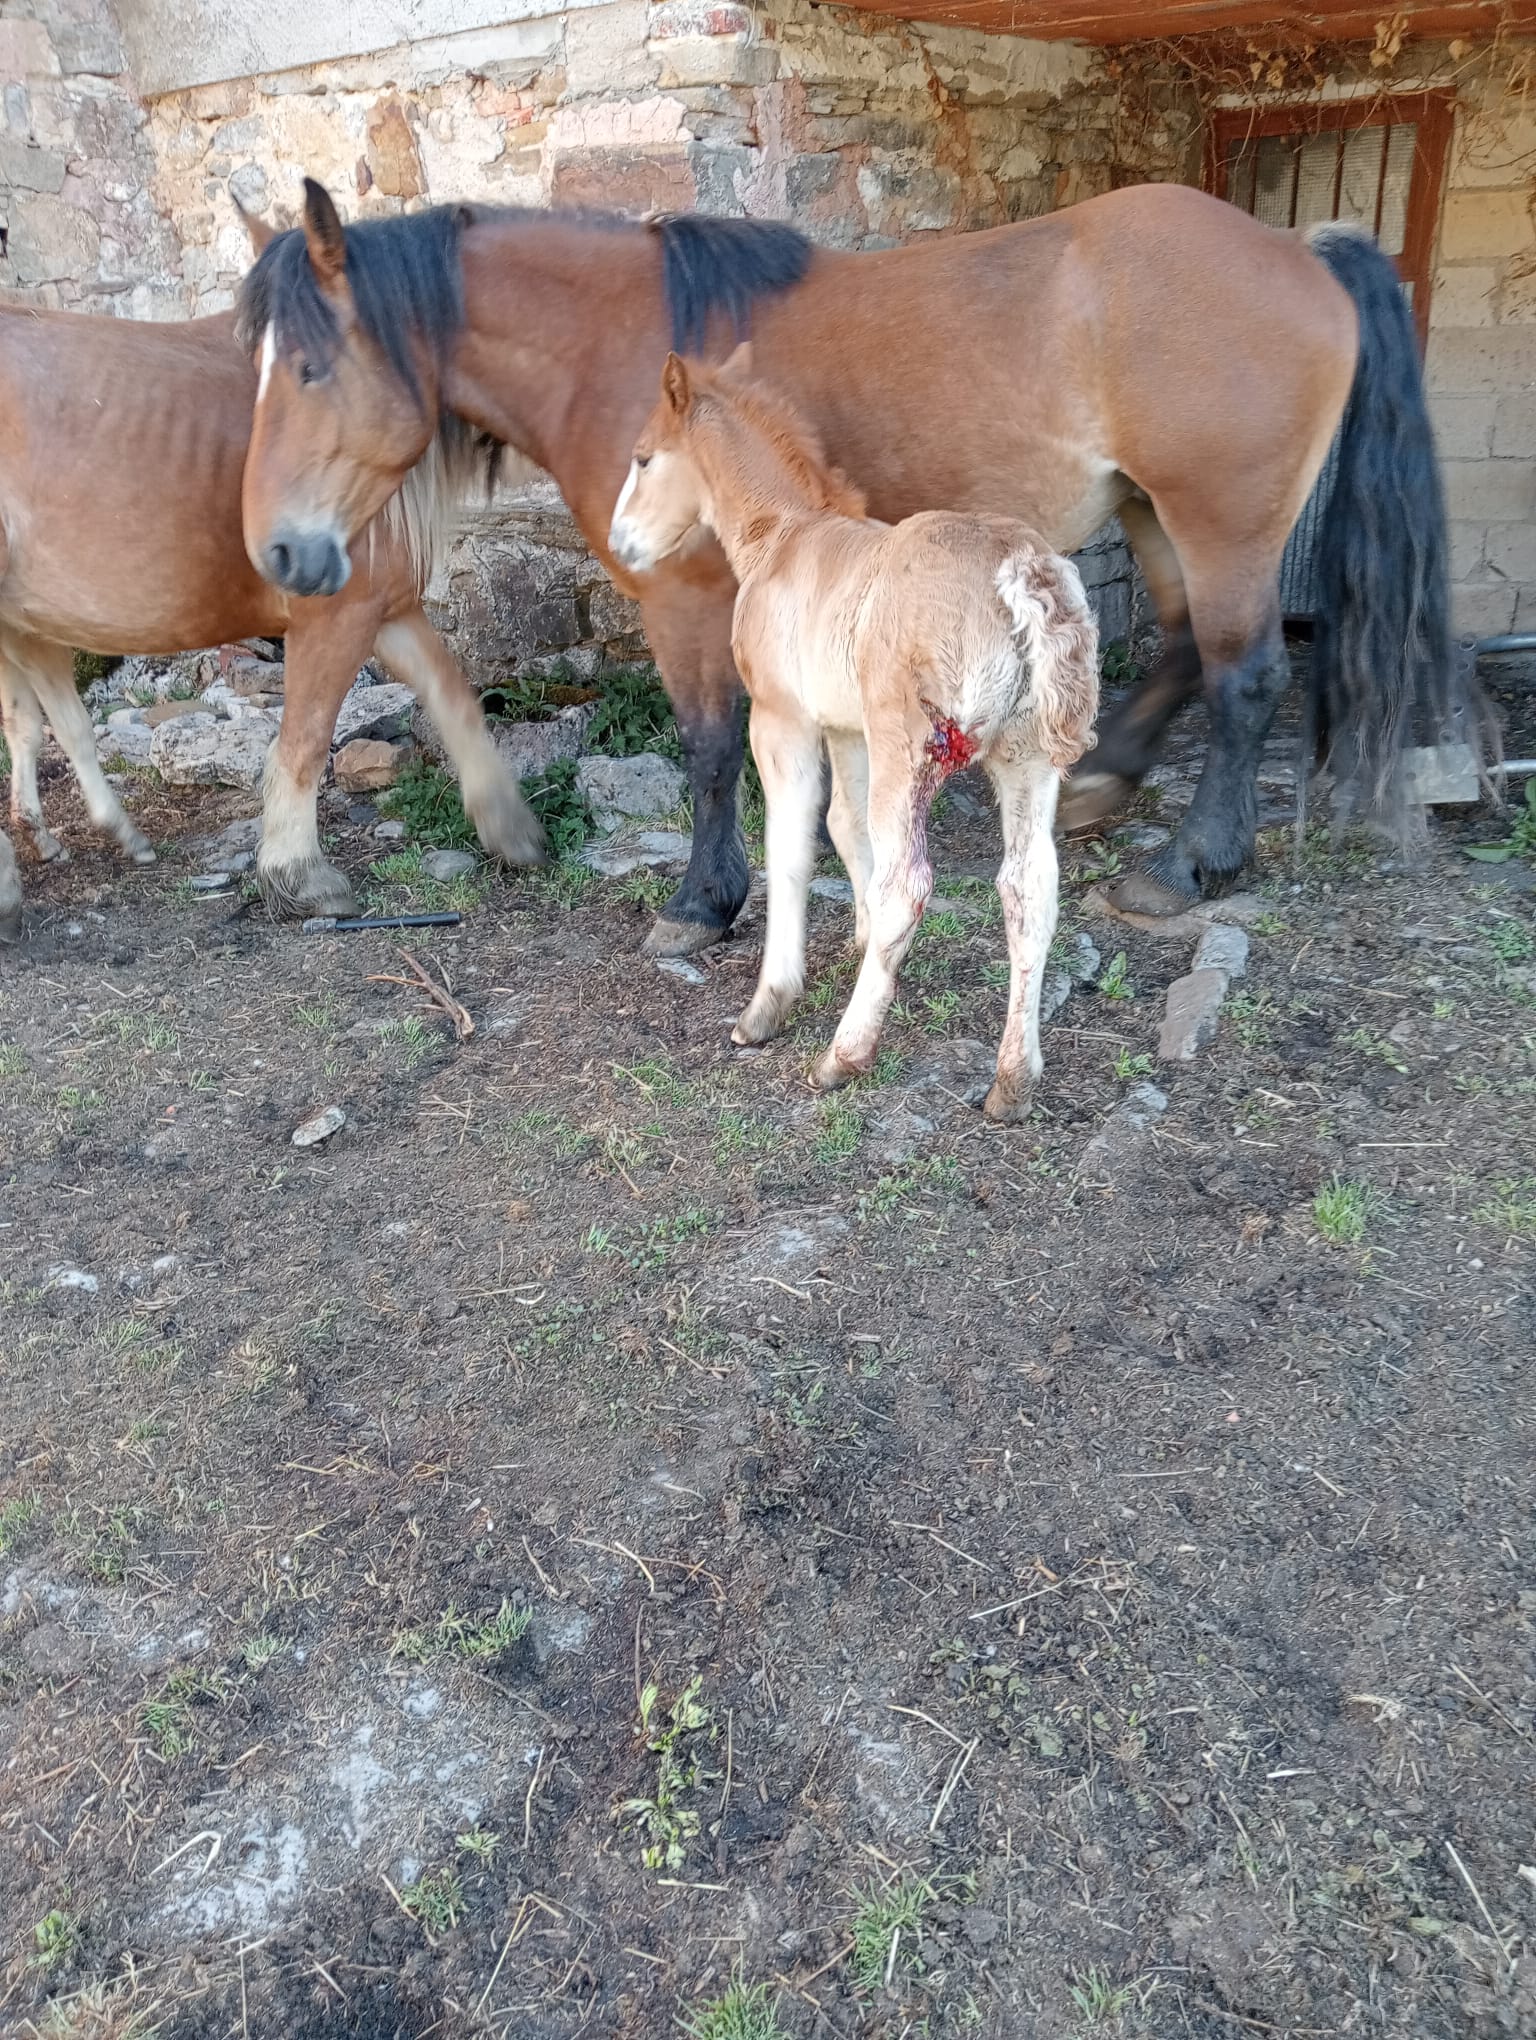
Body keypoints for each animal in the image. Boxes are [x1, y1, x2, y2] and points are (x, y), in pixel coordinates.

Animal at [603, 346, 1093, 1117]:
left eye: (645, 457)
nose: (620, 541)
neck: (782, 538)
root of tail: (1021, 568)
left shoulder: (782, 721)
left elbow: (791, 846)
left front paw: (769, 1003)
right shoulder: (846, 727)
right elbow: (844, 824)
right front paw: (863, 946)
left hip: (911, 744)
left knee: (911, 881)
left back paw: (844, 1053)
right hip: (1027, 755)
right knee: (1029, 886)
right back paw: (1014, 1080)